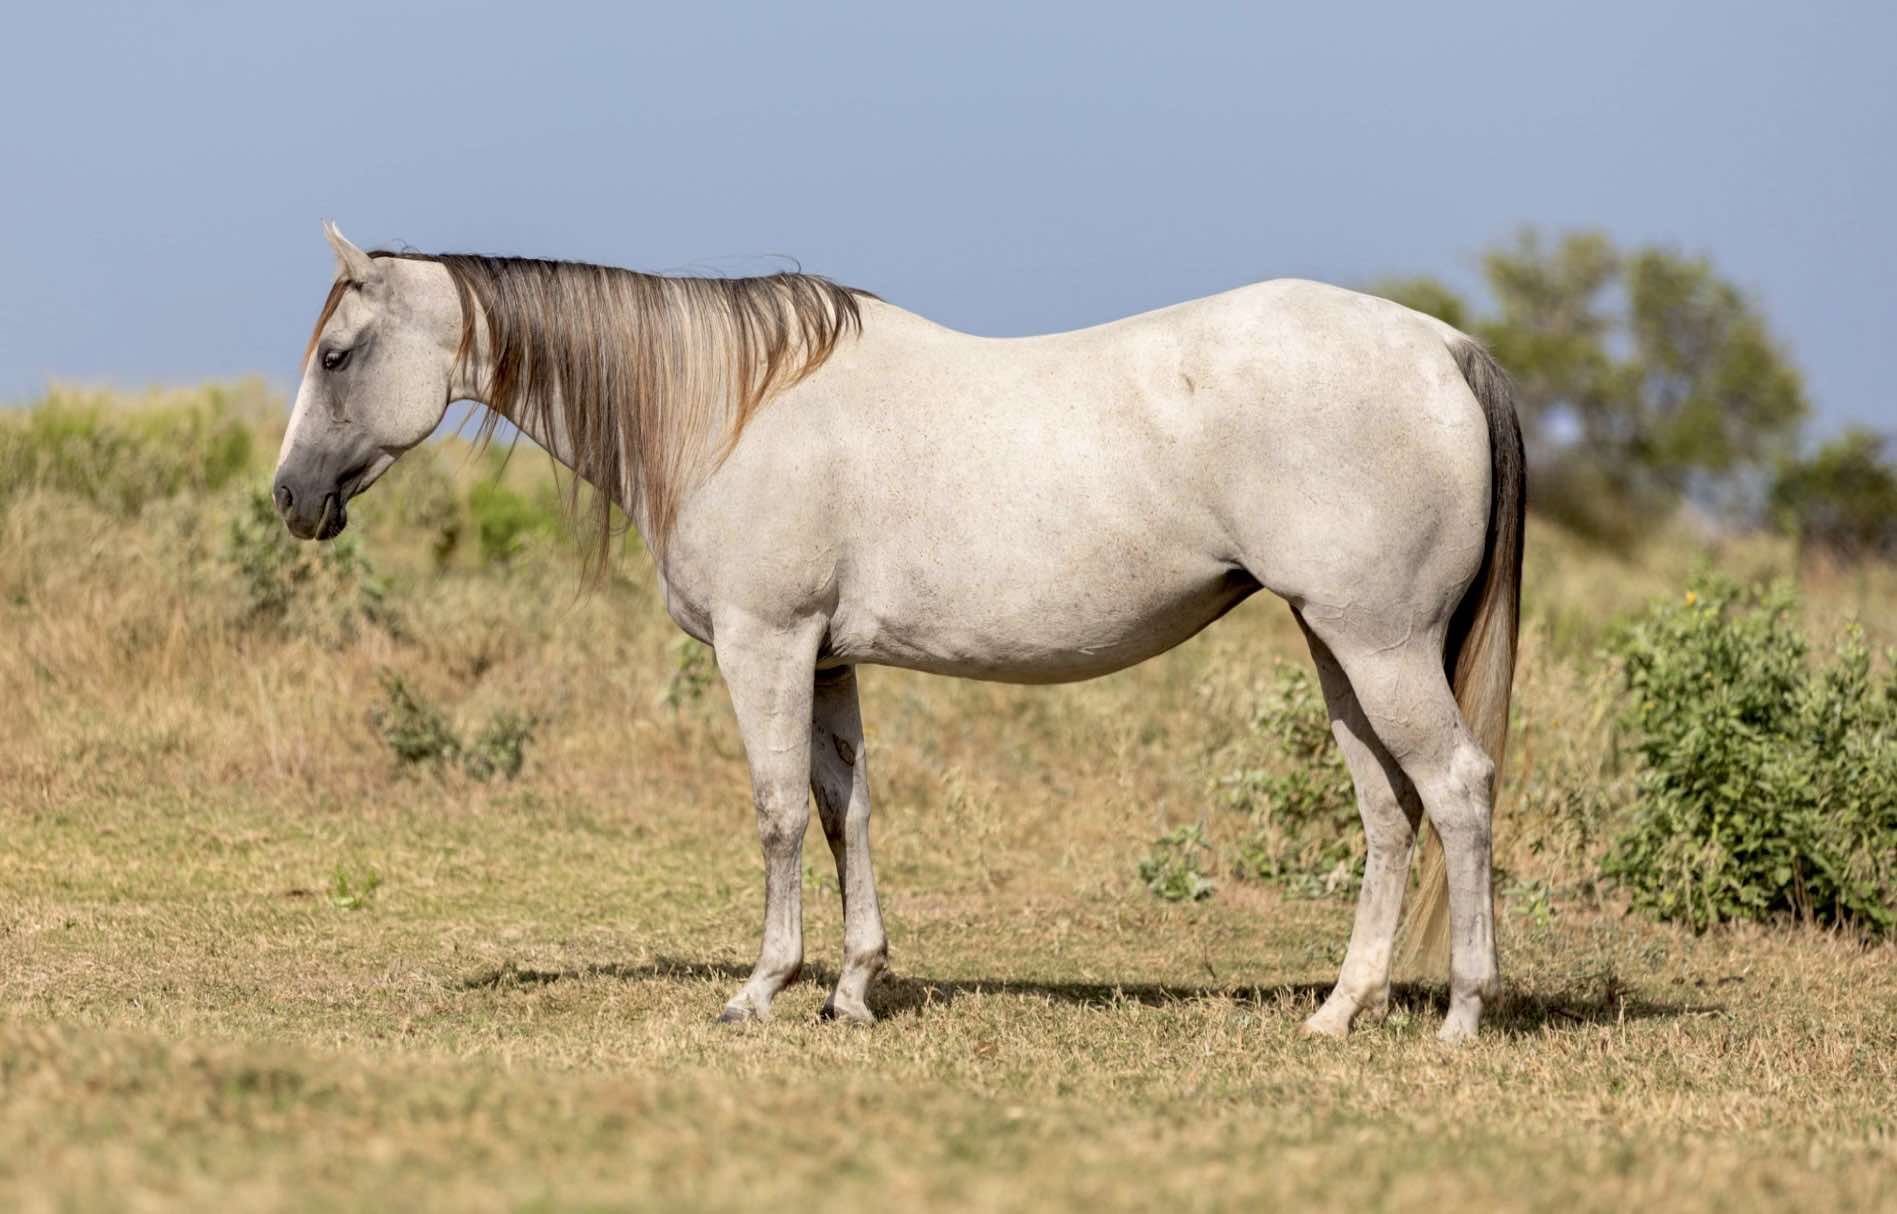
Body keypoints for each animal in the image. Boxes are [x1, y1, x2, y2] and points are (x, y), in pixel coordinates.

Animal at [275, 222, 1523, 1042]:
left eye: (337, 355)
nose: (290, 499)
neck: (730, 404)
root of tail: (1445, 348)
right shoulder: (827, 659)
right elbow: (847, 811)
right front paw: (852, 986)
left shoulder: (766, 645)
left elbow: (779, 813)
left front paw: (762, 987)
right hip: (1337, 646)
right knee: (1388, 809)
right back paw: (1340, 1008)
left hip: (1379, 643)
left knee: (1455, 788)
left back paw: (1462, 1011)